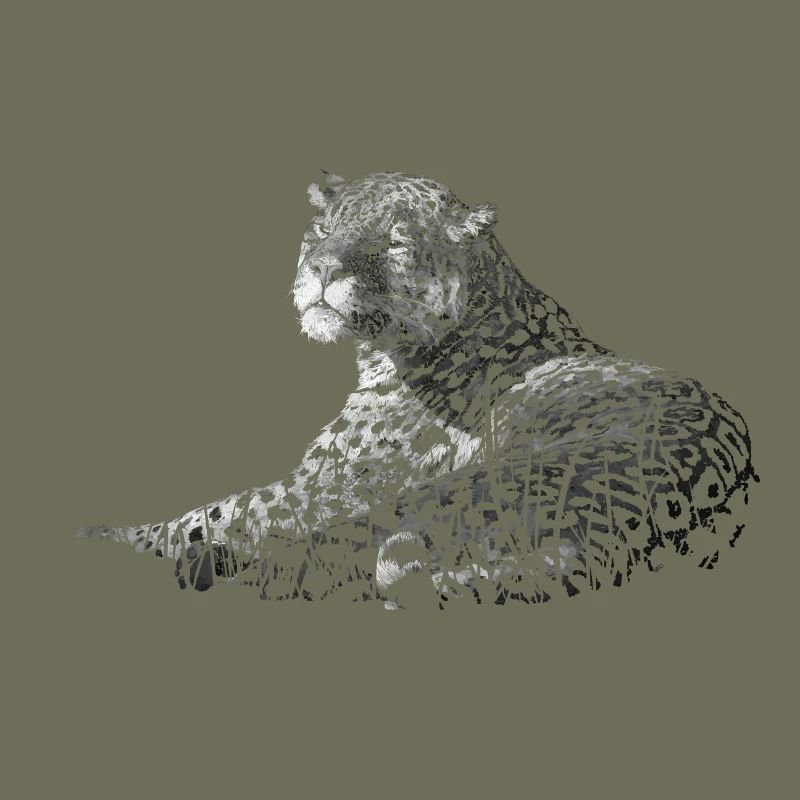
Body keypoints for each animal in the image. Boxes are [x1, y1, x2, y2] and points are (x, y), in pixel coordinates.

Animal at [77, 171, 757, 609]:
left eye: (395, 241)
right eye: (322, 230)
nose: (321, 268)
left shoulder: (320, 485)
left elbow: (210, 513)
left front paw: (110, 536)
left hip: (450, 492)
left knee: (319, 564)